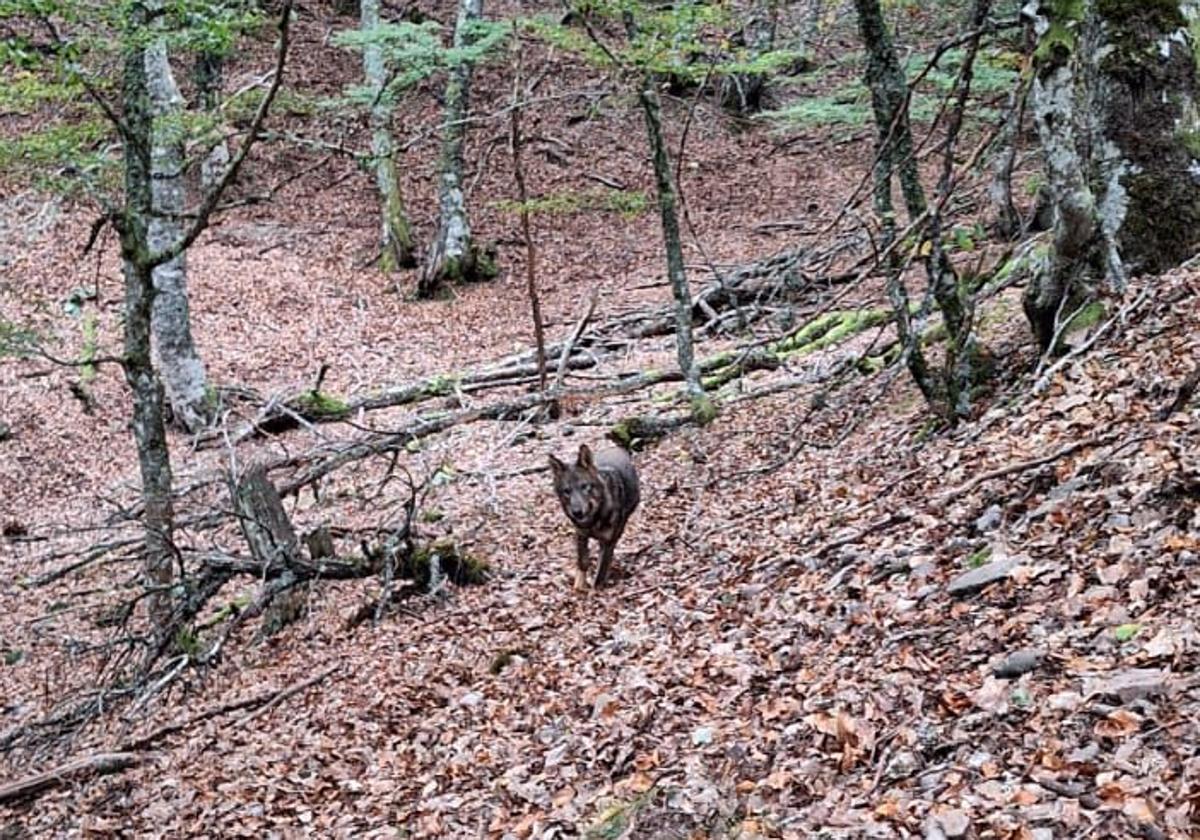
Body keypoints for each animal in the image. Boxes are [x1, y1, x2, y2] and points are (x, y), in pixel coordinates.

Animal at [549, 444, 638, 588]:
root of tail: (615, 448)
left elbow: (600, 575)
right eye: (567, 491)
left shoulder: (608, 542)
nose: (577, 512)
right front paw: (578, 587)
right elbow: (583, 562)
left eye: (585, 487)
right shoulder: (581, 535)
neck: (594, 521)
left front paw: (594, 590)